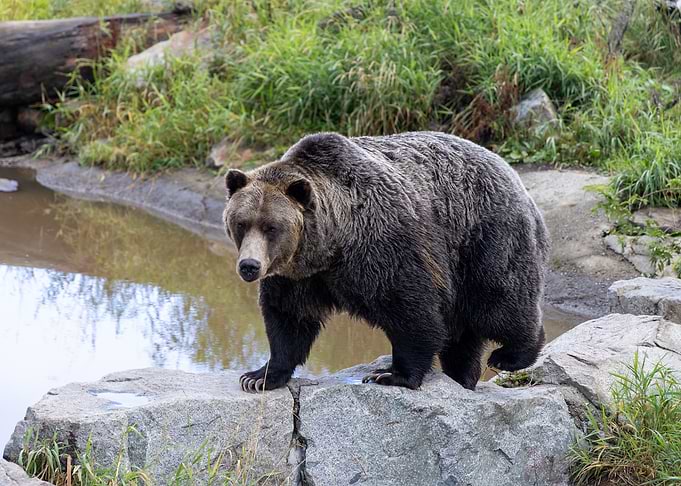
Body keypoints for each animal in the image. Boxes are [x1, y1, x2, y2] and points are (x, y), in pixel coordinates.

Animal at [223, 131, 549, 392]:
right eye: (241, 223)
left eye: (271, 227)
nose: (249, 266)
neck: (331, 247)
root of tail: (515, 177)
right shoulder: (298, 276)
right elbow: (288, 318)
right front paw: (259, 376)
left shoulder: (383, 247)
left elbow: (410, 311)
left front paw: (392, 374)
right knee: (464, 336)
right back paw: (462, 375)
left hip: (483, 240)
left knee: (499, 301)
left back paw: (510, 355)